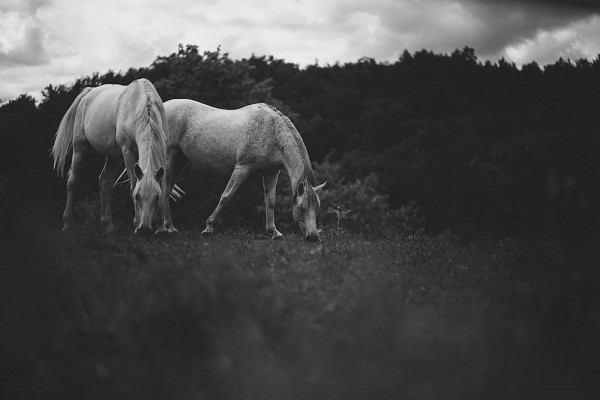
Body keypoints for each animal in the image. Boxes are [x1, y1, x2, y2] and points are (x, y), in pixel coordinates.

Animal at [50, 78, 175, 234]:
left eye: (156, 197)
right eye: (137, 196)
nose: (144, 229)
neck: (139, 106)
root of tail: (88, 93)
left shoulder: (162, 151)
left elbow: (163, 186)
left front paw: (163, 227)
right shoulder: (127, 151)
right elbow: (133, 184)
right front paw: (136, 223)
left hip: (113, 157)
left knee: (105, 182)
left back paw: (108, 224)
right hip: (80, 148)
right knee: (73, 181)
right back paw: (67, 224)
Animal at [162, 99, 326, 241]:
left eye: (317, 209)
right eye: (302, 208)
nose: (313, 237)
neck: (272, 132)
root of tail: (163, 104)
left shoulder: (271, 173)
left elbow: (271, 201)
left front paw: (274, 232)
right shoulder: (242, 168)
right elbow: (226, 197)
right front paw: (208, 228)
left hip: (180, 161)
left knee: (167, 189)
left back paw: (163, 228)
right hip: (169, 156)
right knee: (163, 188)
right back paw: (168, 228)